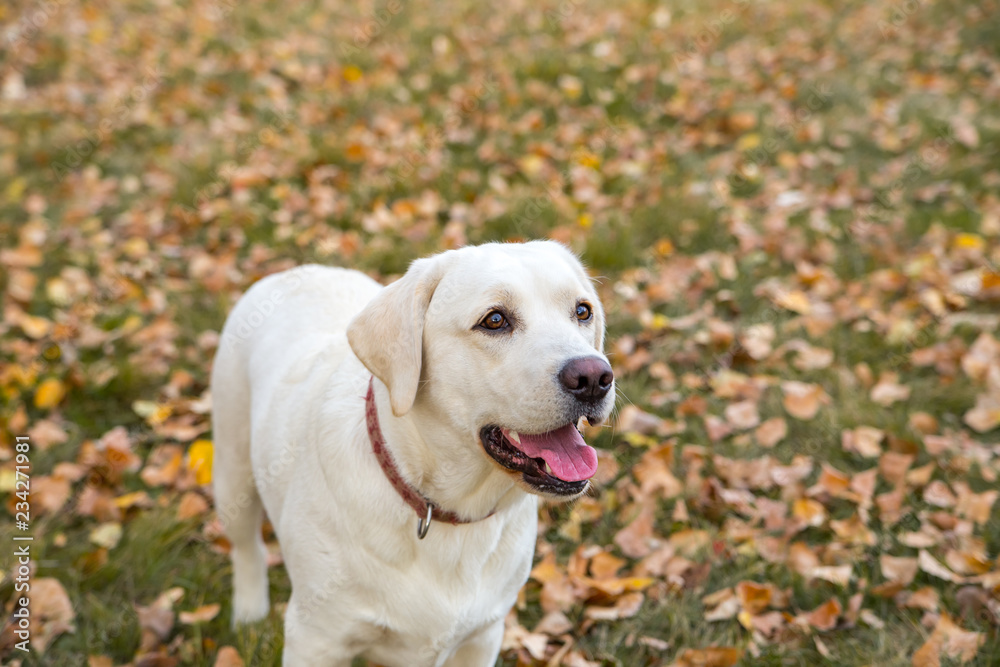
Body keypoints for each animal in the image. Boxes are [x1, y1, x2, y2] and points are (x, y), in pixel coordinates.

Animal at [211, 241, 612, 667]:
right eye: (495, 320)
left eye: (582, 311)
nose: (593, 377)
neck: (447, 509)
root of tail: (296, 270)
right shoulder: (315, 639)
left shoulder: (482, 637)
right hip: (232, 470)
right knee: (246, 544)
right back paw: (249, 613)